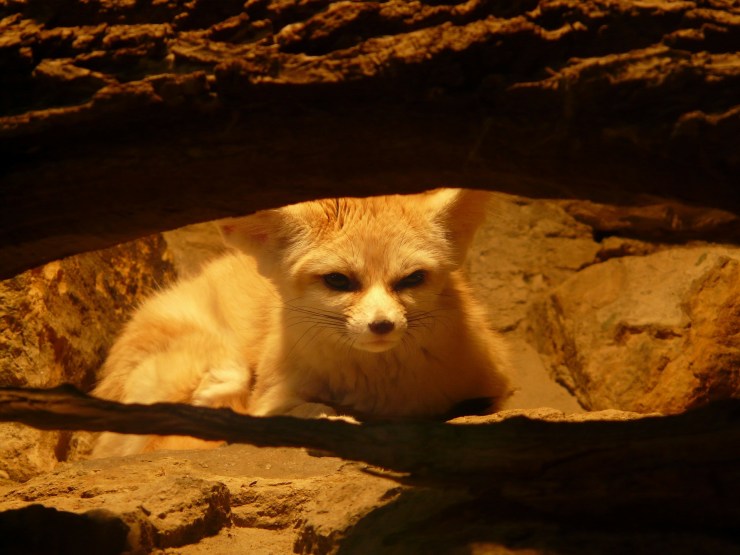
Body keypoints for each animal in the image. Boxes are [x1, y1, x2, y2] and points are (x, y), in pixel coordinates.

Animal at [91, 188, 511, 458]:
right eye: (338, 281)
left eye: (412, 279)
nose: (382, 326)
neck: (376, 386)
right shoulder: (270, 402)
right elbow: (302, 412)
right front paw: (334, 420)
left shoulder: (495, 385)